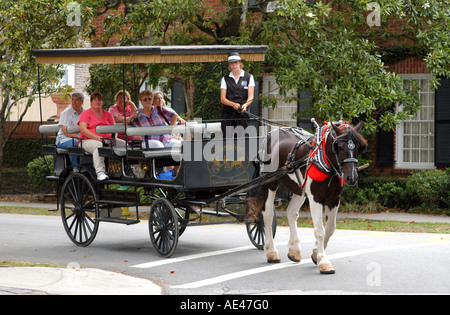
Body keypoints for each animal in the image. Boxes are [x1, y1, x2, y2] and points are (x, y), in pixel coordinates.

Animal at [255, 121, 368, 274]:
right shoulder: (316, 198)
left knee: (291, 212)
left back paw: (294, 249)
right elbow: (320, 230)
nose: (352, 177)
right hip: (270, 183)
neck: (325, 162)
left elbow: (330, 228)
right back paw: (271, 251)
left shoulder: (334, 199)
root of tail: (271, 133)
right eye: (339, 146)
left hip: (299, 189)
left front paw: (315, 255)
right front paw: (323, 261)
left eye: (358, 146)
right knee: (267, 214)